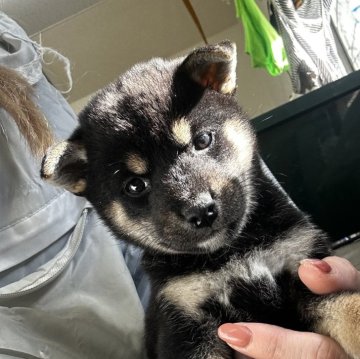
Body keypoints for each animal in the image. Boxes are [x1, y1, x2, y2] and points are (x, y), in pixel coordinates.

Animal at [40, 40, 360, 358]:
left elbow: (348, 307)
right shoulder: (186, 317)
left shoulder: (303, 263)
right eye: (135, 185)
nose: (201, 210)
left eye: (203, 140)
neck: (232, 254)